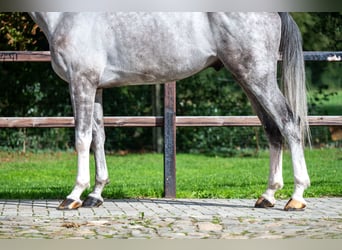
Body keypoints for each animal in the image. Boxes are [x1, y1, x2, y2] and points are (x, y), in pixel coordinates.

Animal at [30, 12, 310, 211]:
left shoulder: (81, 82)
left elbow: (82, 138)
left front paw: (74, 195)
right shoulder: (96, 86)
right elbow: (99, 138)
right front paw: (95, 195)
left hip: (257, 77)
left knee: (288, 122)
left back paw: (296, 197)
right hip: (248, 79)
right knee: (272, 130)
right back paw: (268, 195)